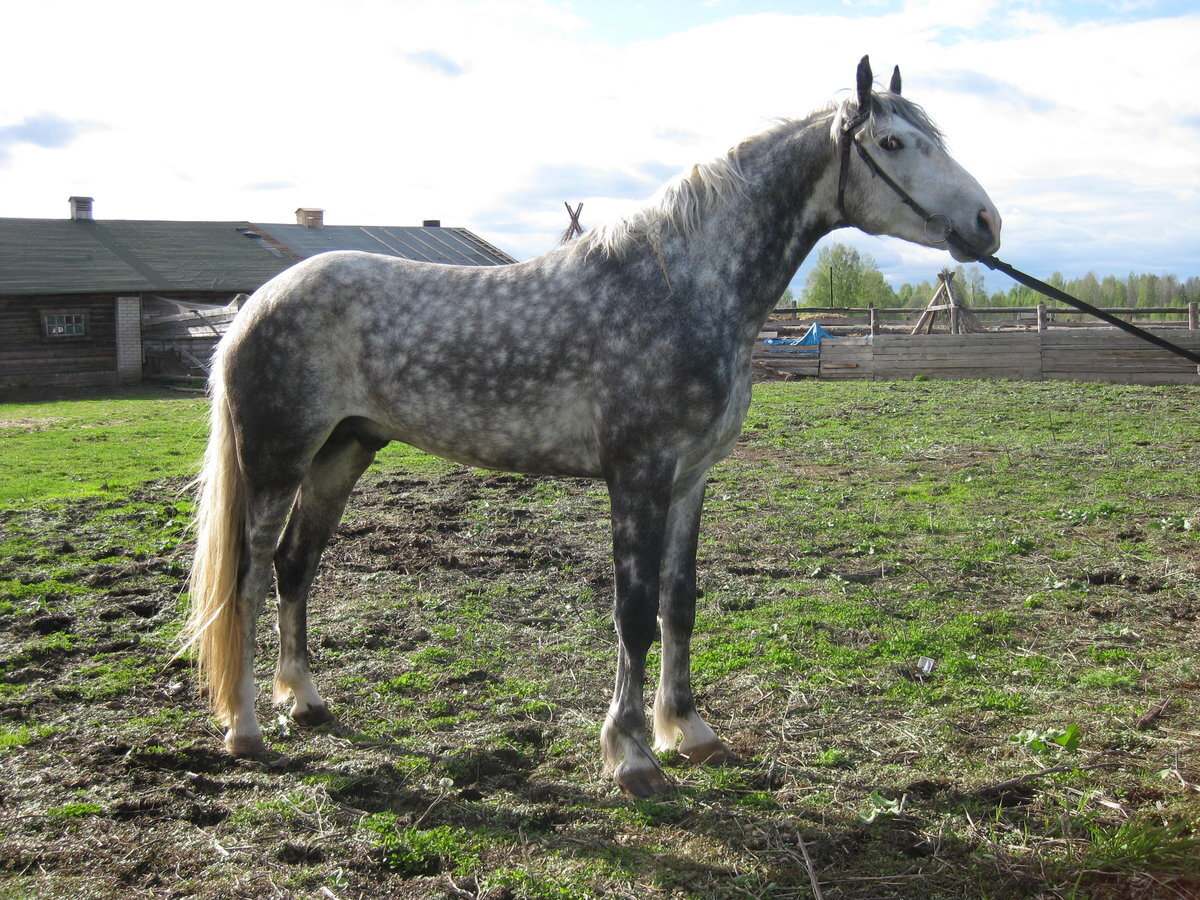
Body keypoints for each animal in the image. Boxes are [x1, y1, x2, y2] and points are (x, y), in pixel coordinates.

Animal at [182, 58, 998, 796]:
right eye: (892, 142)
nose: (988, 224)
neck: (677, 287)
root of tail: (255, 306)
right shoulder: (638, 475)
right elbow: (632, 613)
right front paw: (633, 755)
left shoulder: (691, 478)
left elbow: (678, 602)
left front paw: (689, 731)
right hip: (277, 460)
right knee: (251, 577)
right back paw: (246, 729)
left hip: (343, 451)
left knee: (296, 566)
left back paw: (305, 701)